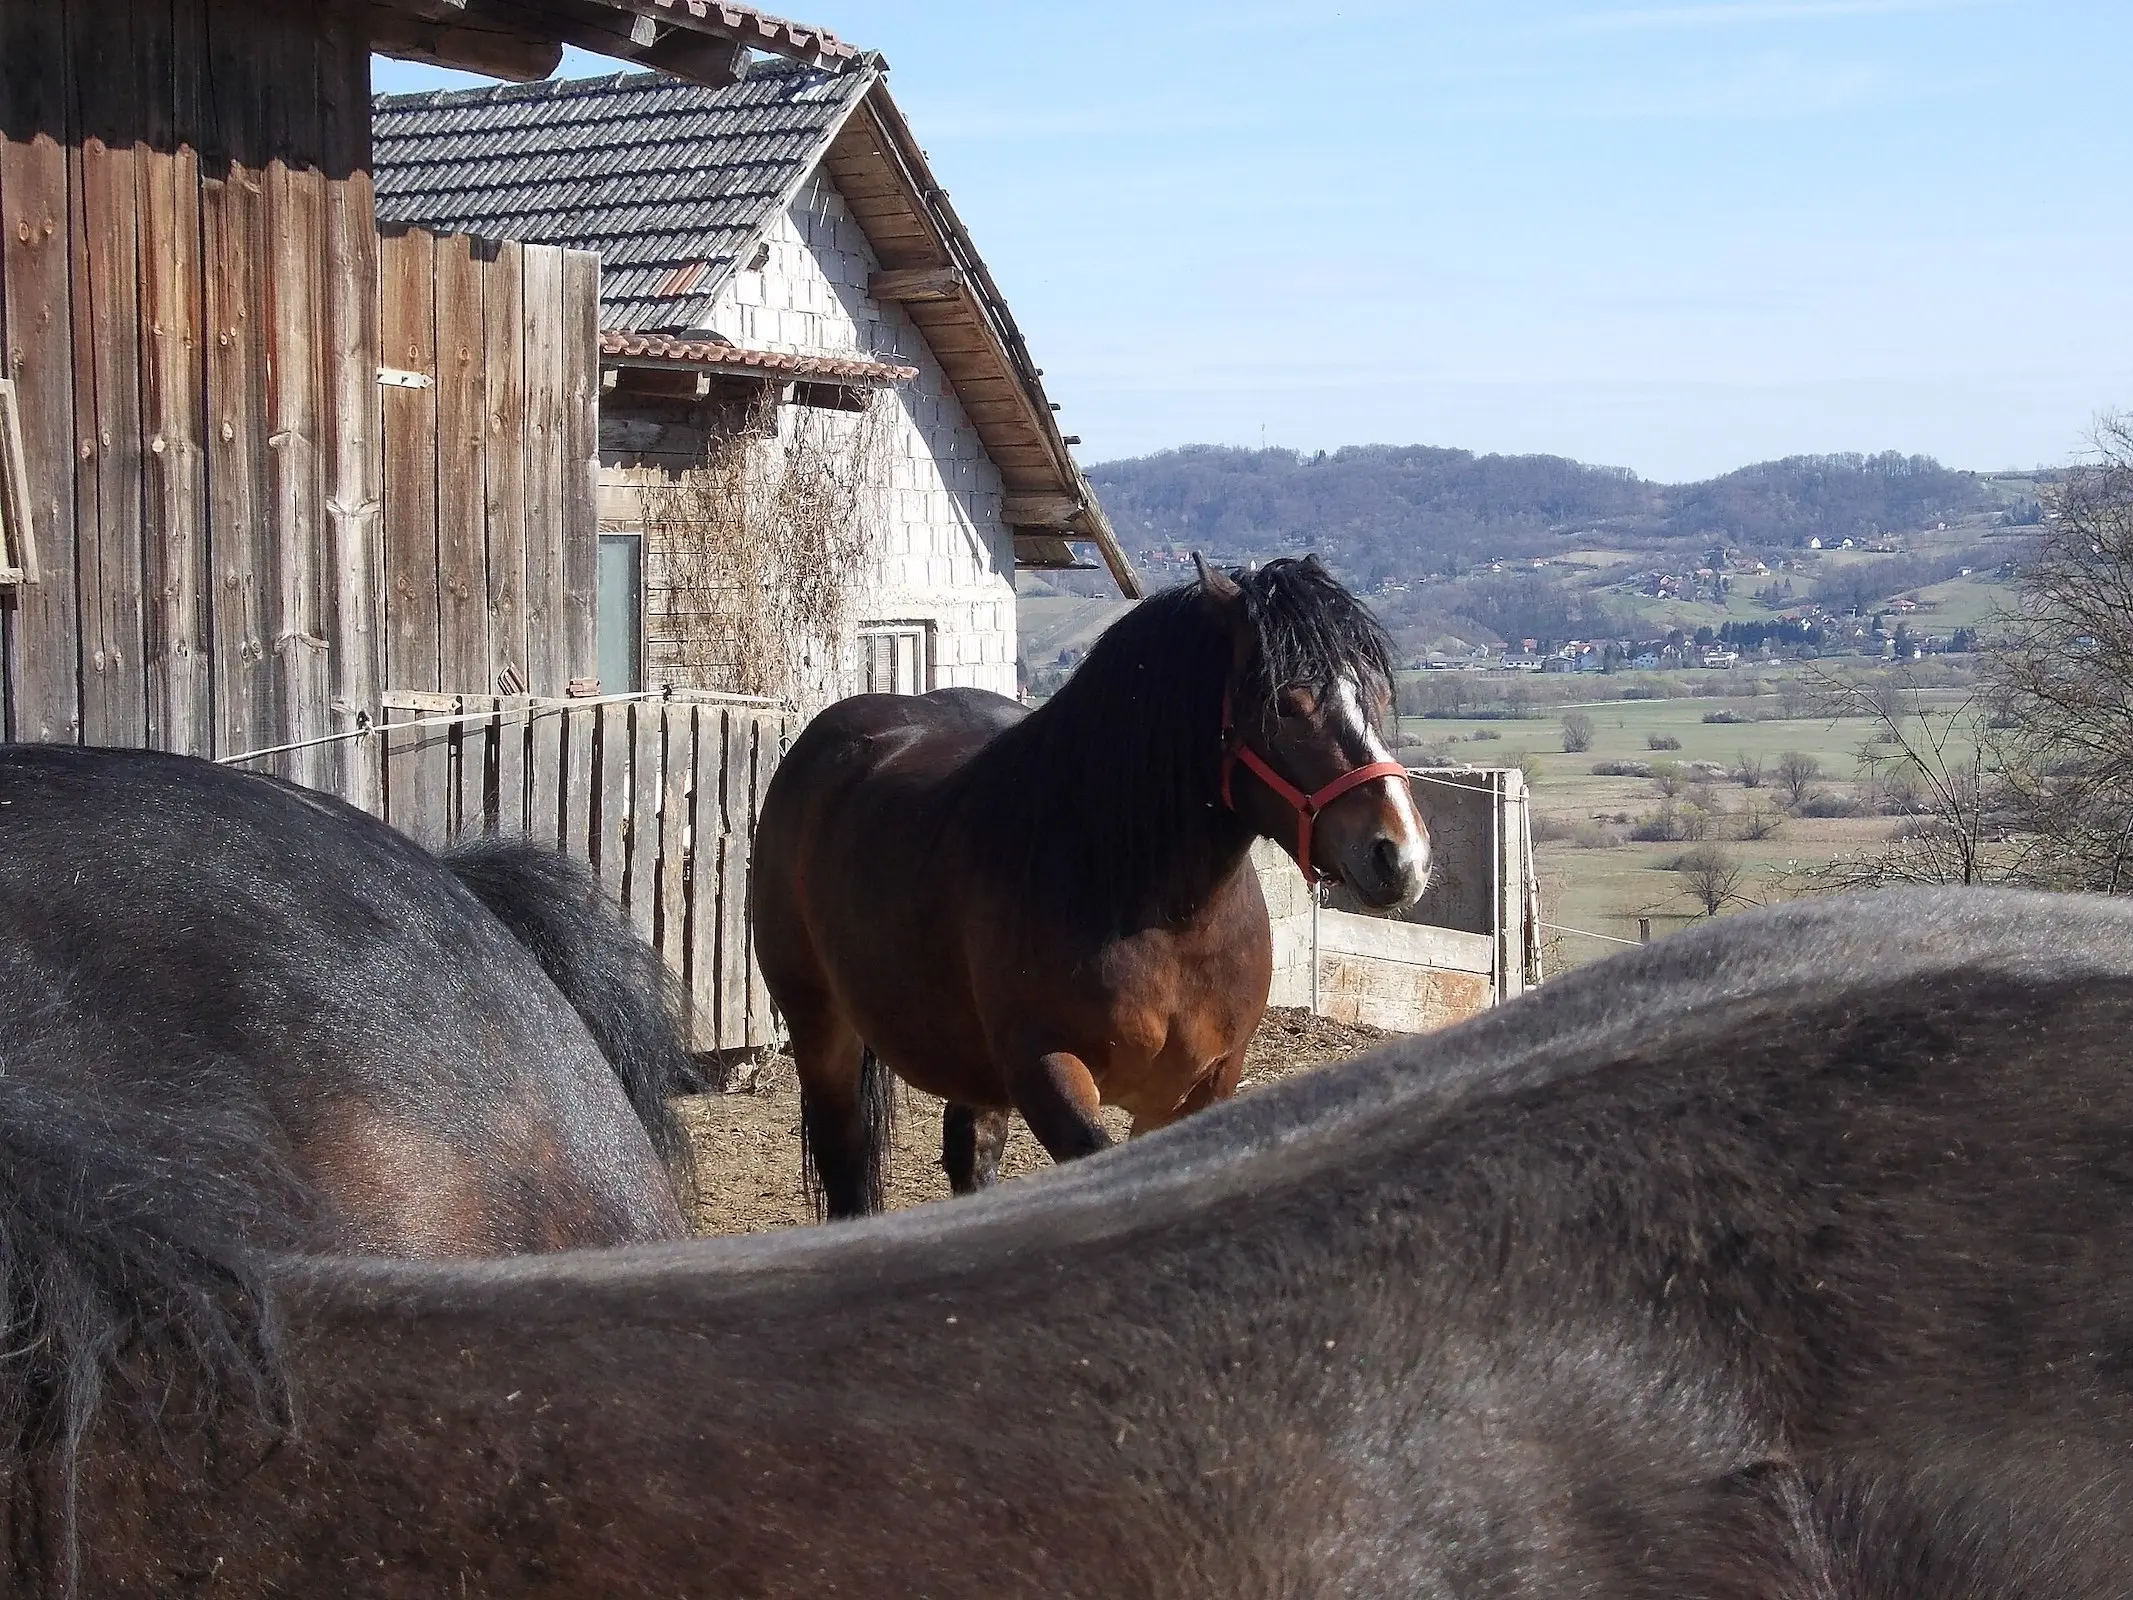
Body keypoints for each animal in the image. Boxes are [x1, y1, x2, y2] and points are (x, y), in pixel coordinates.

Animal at [750, 554, 1433, 1211]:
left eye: (1376, 693)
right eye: (1287, 704)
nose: (1402, 857)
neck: (1158, 914)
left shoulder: (1197, 1087)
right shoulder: (1047, 1074)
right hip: (821, 1027)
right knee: (846, 1161)